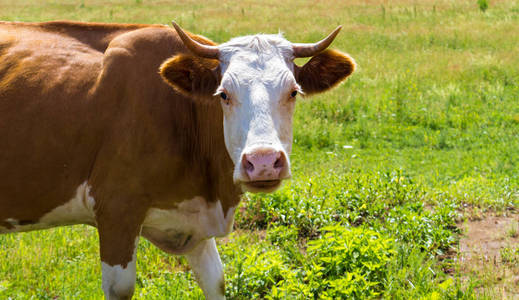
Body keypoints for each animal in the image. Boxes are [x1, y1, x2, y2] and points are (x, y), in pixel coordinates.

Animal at [0, 19, 354, 298]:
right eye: (224, 94)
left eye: (293, 91)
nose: (264, 162)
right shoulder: (116, 211)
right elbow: (121, 287)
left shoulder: (195, 219)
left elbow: (217, 282)